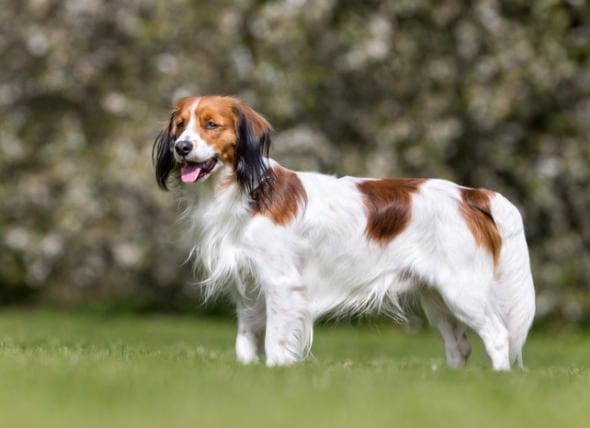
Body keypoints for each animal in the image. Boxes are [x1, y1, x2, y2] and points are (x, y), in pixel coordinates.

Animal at [153, 95, 536, 370]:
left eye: (211, 125)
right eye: (181, 126)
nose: (181, 147)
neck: (244, 192)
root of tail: (469, 193)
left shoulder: (281, 284)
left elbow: (276, 341)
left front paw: (276, 371)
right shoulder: (247, 290)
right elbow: (246, 341)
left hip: (462, 290)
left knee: (498, 336)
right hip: (437, 297)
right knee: (459, 345)